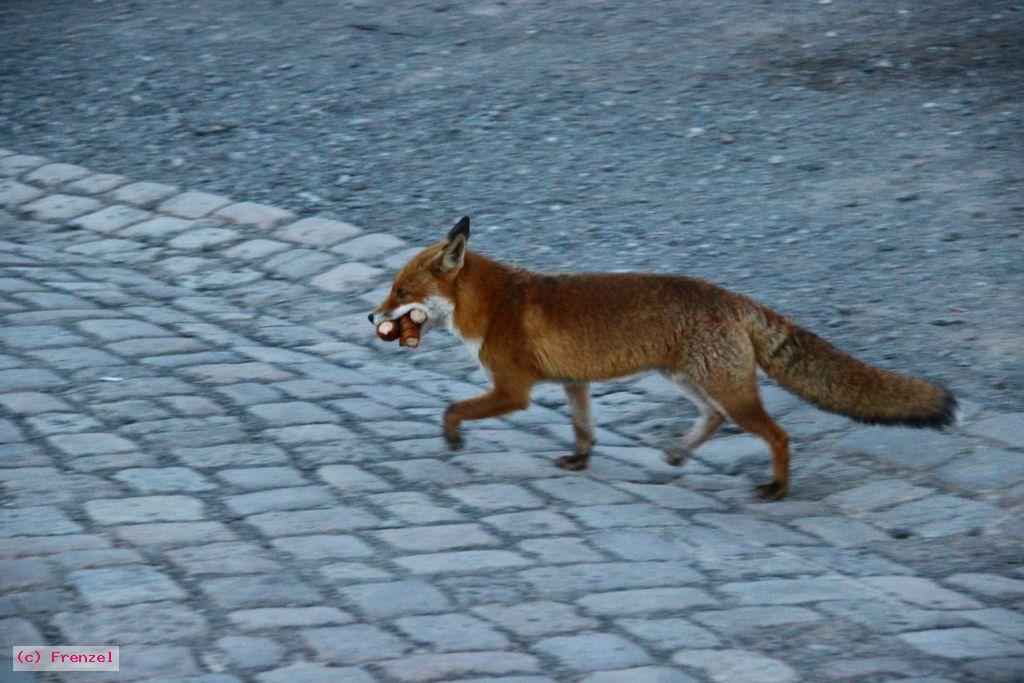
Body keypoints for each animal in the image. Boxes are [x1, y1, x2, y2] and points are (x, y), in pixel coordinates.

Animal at [370, 216, 958, 499]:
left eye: (401, 292)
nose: (369, 314)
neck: (493, 306)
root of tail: (735, 298)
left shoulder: (513, 391)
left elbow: (453, 408)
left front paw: (452, 439)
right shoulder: (574, 382)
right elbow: (584, 430)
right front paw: (580, 461)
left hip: (728, 391)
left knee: (777, 435)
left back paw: (778, 488)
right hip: (686, 380)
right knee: (714, 420)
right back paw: (678, 454)